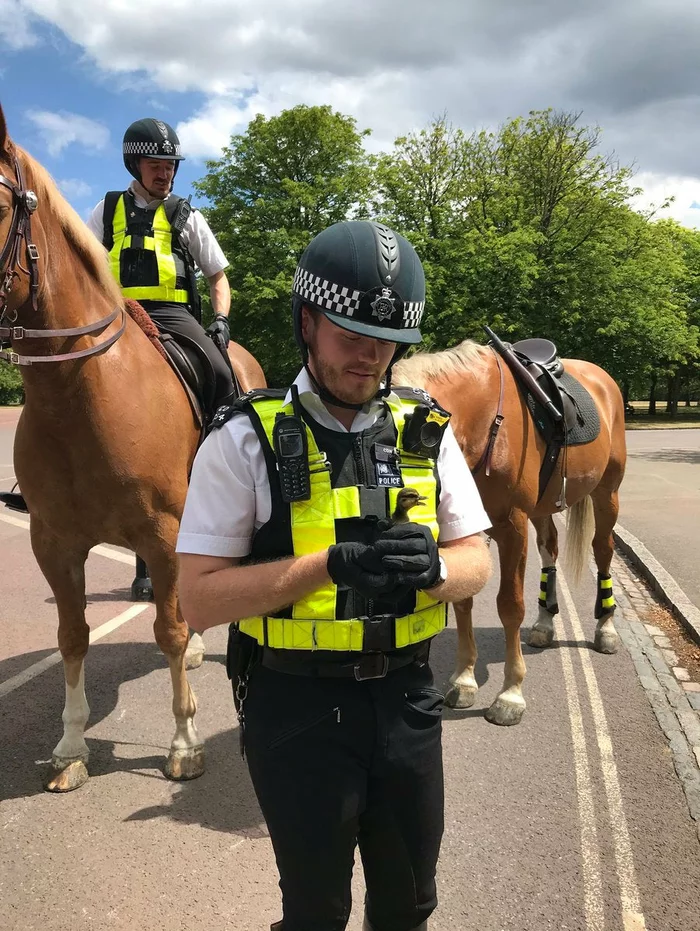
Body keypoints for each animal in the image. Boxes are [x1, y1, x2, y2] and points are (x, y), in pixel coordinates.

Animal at [0, 111, 266, 792]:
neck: (80, 396)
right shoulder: (53, 543)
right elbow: (72, 636)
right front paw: (70, 747)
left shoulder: (163, 532)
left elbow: (168, 631)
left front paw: (184, 742)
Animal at [394, 338, 628, 724]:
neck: (481, 421)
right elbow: (463, 598)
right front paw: (464, 680)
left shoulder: (512, 526)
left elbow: (510, 605)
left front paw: (511, 693)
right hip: (544, 506)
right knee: (550, 547)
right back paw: (545, 624)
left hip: (607, 492)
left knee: (603, 550)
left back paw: (606, 628)